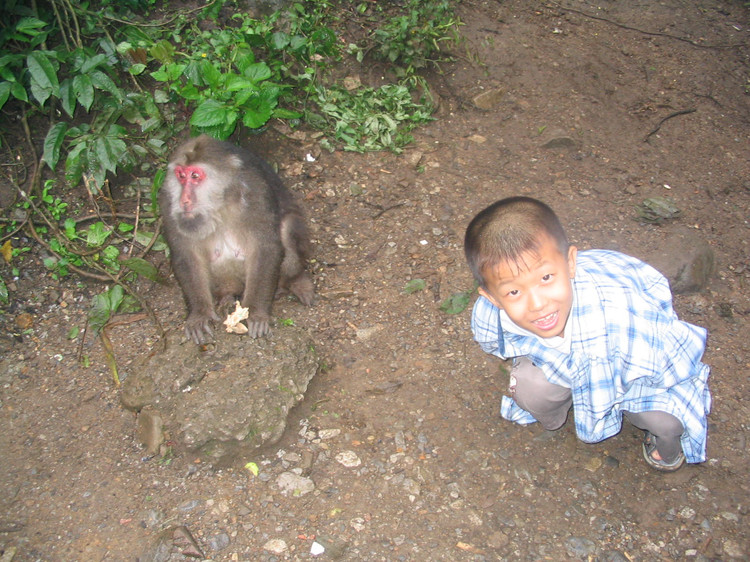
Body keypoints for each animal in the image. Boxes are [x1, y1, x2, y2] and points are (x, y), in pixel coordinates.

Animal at [160, 134, 316, 344]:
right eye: (180, 175)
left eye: (195, 176)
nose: (184, 200)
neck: (220, 203)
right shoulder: (167, 201)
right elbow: (186, 255)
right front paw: (199, 314)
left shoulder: (255, 192)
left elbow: (265, 247)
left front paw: (255, 313)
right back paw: (226, 297)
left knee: (287, 227)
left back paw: (295, 282)